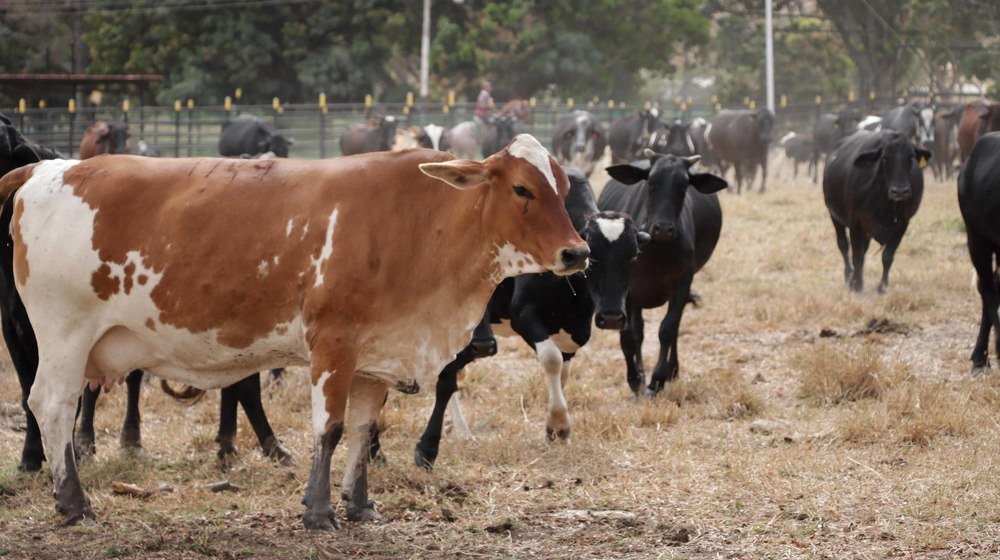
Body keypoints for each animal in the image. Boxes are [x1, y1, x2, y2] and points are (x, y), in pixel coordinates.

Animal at [0, 133, 588, 528]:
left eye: (562, 187)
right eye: (522, 189)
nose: (577, 252)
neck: (419, 220)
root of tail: (48, 168)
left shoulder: (376, 355)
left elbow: (362, 431)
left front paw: (360, 504)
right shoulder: (334, 344)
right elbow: (328, 429)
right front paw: (320, 510)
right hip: (65, 335)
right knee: (51, 405)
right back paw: (74, 503)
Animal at [410, 168, 650, 469]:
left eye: (634, 255)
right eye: (593, 256)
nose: (612, 317)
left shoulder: (573, 331)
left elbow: (563, 372)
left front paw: (552, 426)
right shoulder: (524, 316)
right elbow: (551, 359)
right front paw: (560, 424)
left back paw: (458, 429)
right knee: (446, 372)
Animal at [599, 151, 728, 395]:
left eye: (683, 186)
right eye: (651, 182)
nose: (664, 229)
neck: (656, 251)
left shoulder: (682, 284)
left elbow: (667, 330)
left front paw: (658, 379)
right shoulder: (628, 290)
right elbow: (628, 335)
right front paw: (635, 379)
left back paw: (672, 370)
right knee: (638, 331)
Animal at [823, 129, 930, 294]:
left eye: (911, 157)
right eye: (885, 157)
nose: (900, 191)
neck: (885, 206)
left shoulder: (903, 224)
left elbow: (887, 256)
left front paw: (882, 287)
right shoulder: (856, 223)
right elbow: (857, 256)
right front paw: (857, 285)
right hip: (835, 217)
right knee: (843, 245)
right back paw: (849, 275)